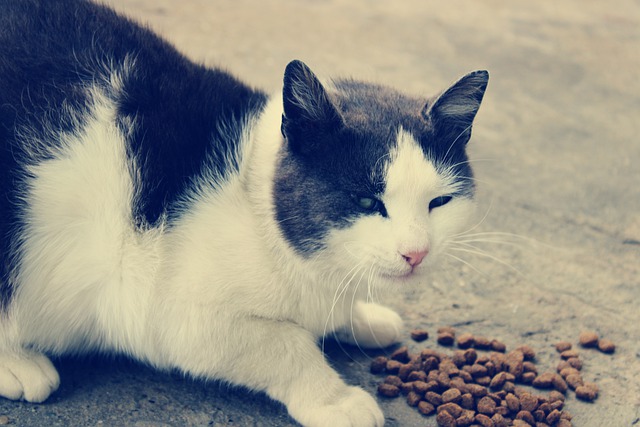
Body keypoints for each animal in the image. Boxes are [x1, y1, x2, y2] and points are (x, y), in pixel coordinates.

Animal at [1, 0, 490, 424]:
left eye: (439, 202)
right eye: (367, 202)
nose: (416, 253)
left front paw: (361, 319)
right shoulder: (168, 312)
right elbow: (287, 344)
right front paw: (334, 398)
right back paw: (19, 364)